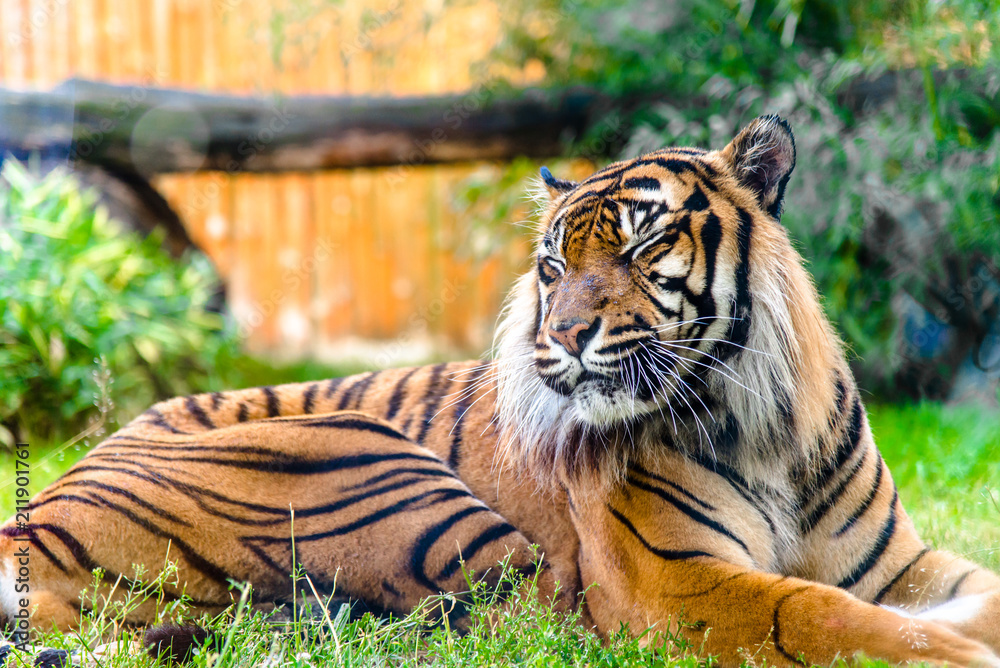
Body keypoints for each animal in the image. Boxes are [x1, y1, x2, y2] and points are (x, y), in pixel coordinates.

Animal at [2, 115, 999, 667]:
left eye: (642, 246)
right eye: (553, 268)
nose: (562, 336)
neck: (764, 427)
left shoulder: (902, 565)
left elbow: (966, 590)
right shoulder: (675, 581)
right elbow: (820, 613)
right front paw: (952, 654)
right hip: (372, 462)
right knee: (512, 621)